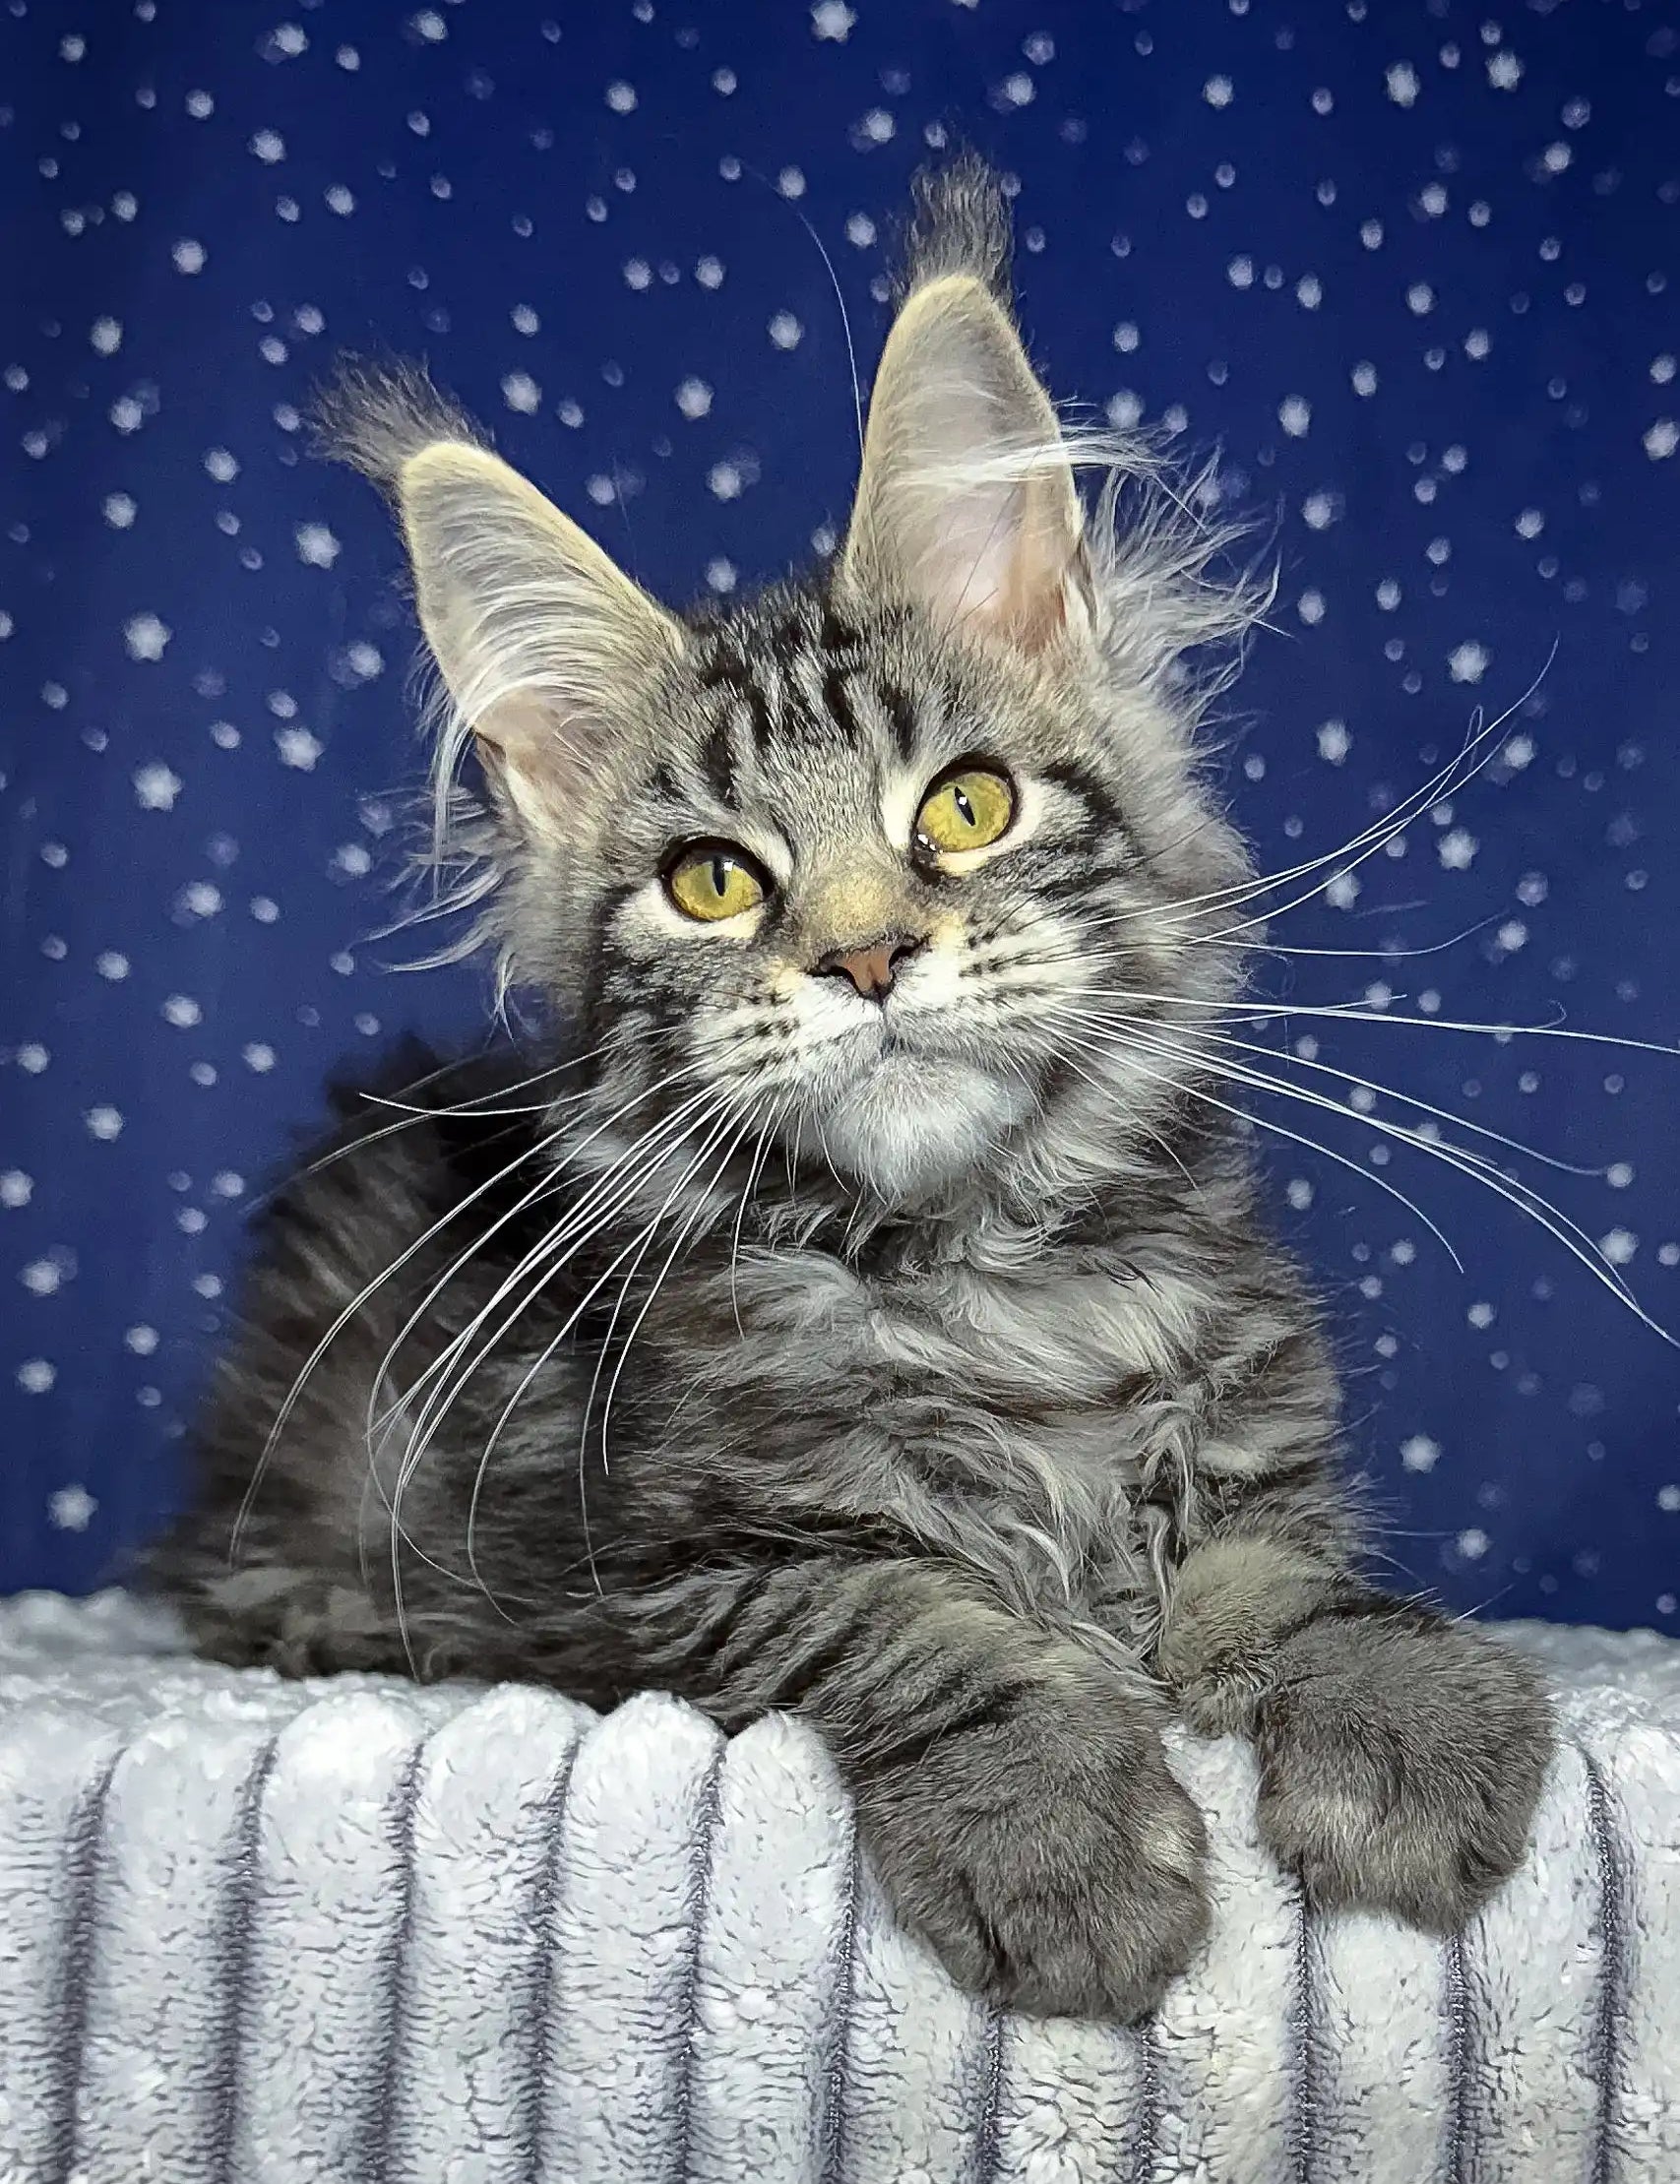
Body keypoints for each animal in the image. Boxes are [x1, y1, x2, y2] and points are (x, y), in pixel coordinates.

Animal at [154, 161, 1546, 2018]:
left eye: (962, 807)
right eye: (713, 883)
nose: (867, 954)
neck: (988, 1282)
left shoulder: (1256, 1446)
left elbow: (1289, 1580)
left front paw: (1402, 1714)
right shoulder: (678, 1569)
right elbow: (920, 1624)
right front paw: (1054, 1834)